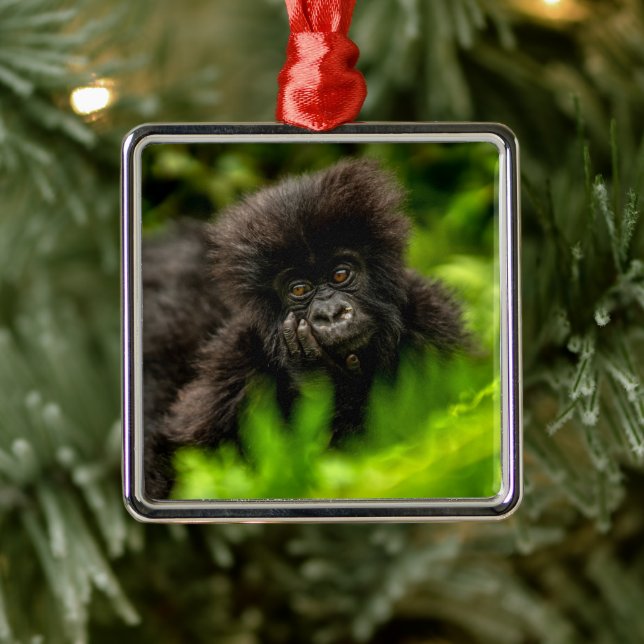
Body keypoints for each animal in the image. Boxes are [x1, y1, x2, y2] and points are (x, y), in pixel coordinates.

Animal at [142, 159, 465, 498]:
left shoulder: (435, 322)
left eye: (340, 275)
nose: (331, 314)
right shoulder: (234, 361)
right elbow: (178, 453)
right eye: (299, 289)